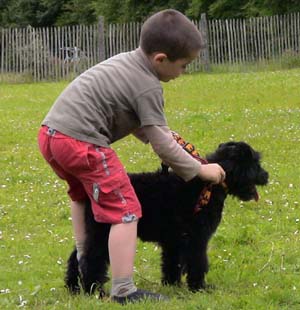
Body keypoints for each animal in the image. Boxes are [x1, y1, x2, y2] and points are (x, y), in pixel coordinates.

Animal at [64, 141, 268, 296]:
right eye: (254, 163)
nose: (266, 175)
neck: (207, 186)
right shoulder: (197, 239)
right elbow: (198, 262)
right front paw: (199, 287)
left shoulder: (174, 241)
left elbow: (172, 263)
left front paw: (172, 285)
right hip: (102, 234)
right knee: (92, 259)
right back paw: (94, 290)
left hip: (92, 232)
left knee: (78, 256)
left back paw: (73, 287)